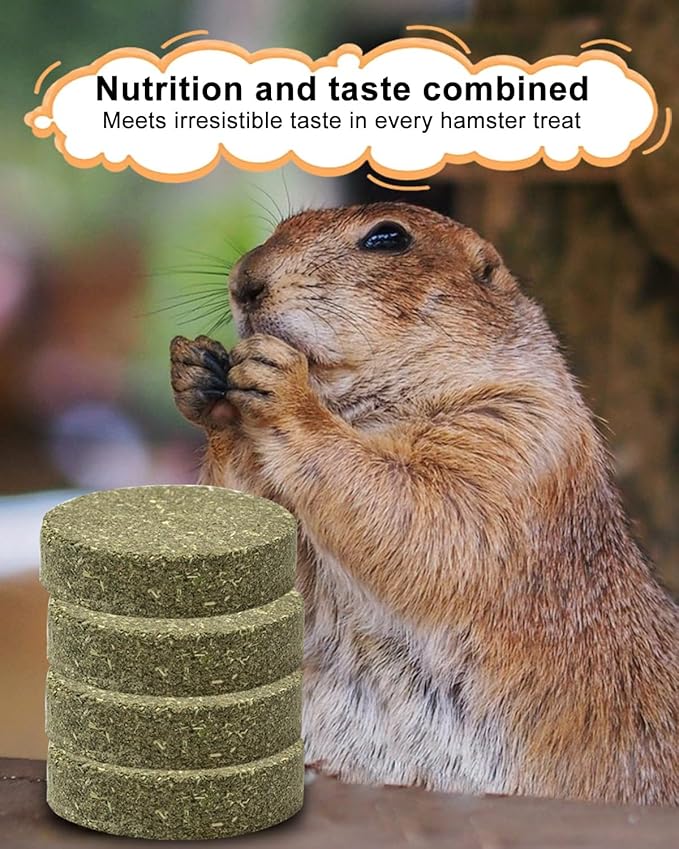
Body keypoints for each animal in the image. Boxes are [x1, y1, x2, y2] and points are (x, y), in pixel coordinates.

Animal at [170, 202, 678, 804]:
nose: (243, 281)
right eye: (276, 229)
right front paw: (201, 371)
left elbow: (436, 513)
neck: (356, 411)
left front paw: (283, 387)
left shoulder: (519, 432)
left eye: (388, 238)